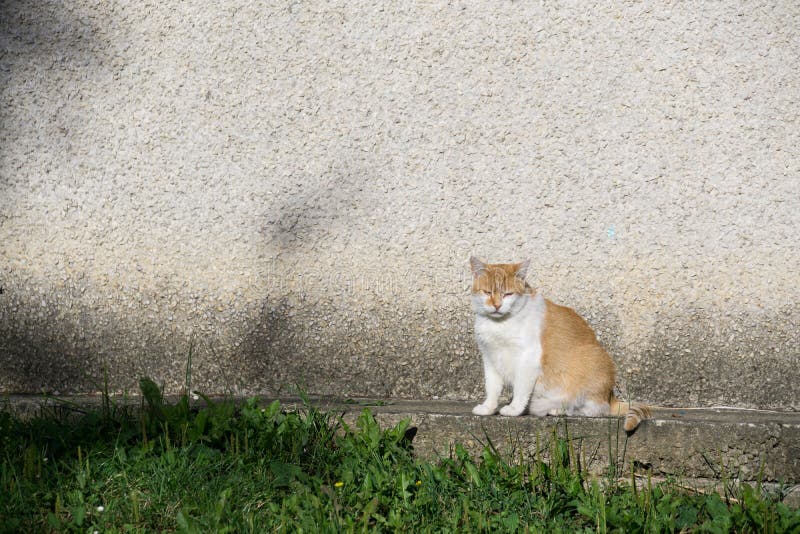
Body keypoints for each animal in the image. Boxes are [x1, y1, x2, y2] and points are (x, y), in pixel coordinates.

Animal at [472, 258, 648, 434]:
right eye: (487, 292)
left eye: (508, 294)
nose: (497, 305)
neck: (499, 324)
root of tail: (610, 396)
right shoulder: (490, 358)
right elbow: (492, 387)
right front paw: (488, 407)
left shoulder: (528, 359)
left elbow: (520, 388)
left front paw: (514, 409)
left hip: (592, 360)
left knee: (593, 409)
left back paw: (558, 409)